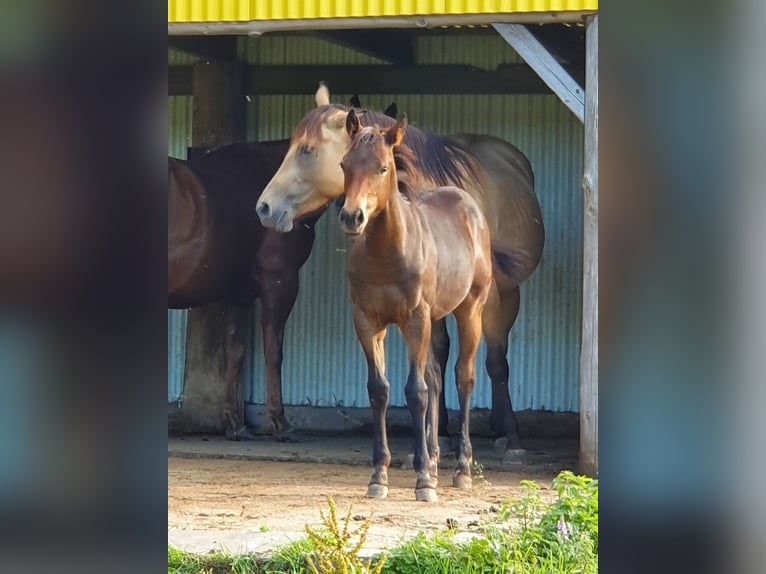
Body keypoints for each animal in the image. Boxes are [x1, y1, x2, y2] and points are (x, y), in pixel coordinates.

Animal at [168, 142, 324, 444]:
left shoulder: (239, 296)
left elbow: (235, 351)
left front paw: (235, 425)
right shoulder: (280, 282)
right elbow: (273, 351)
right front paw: (280, 423)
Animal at [258, 86, 544, 464]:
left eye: (307, 149)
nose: (264, 208)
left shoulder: (493, 297)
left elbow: (495, 362)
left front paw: (511, 438)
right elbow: (431, 366)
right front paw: (432, 441)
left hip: (503, 295)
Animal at [340, 109, 496, 504]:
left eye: (382, 168)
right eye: (345, 164)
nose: (351, 217)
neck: (388, 252)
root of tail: (468, 204)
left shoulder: (414, 320)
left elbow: (415, 392)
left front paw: (423, 481)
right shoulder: (367, 322)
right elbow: (379, 389)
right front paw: (379, 476)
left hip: (469, 311)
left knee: (462, 377)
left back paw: (461, 469)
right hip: (435, 319)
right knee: (436, 378)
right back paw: (437, 461)